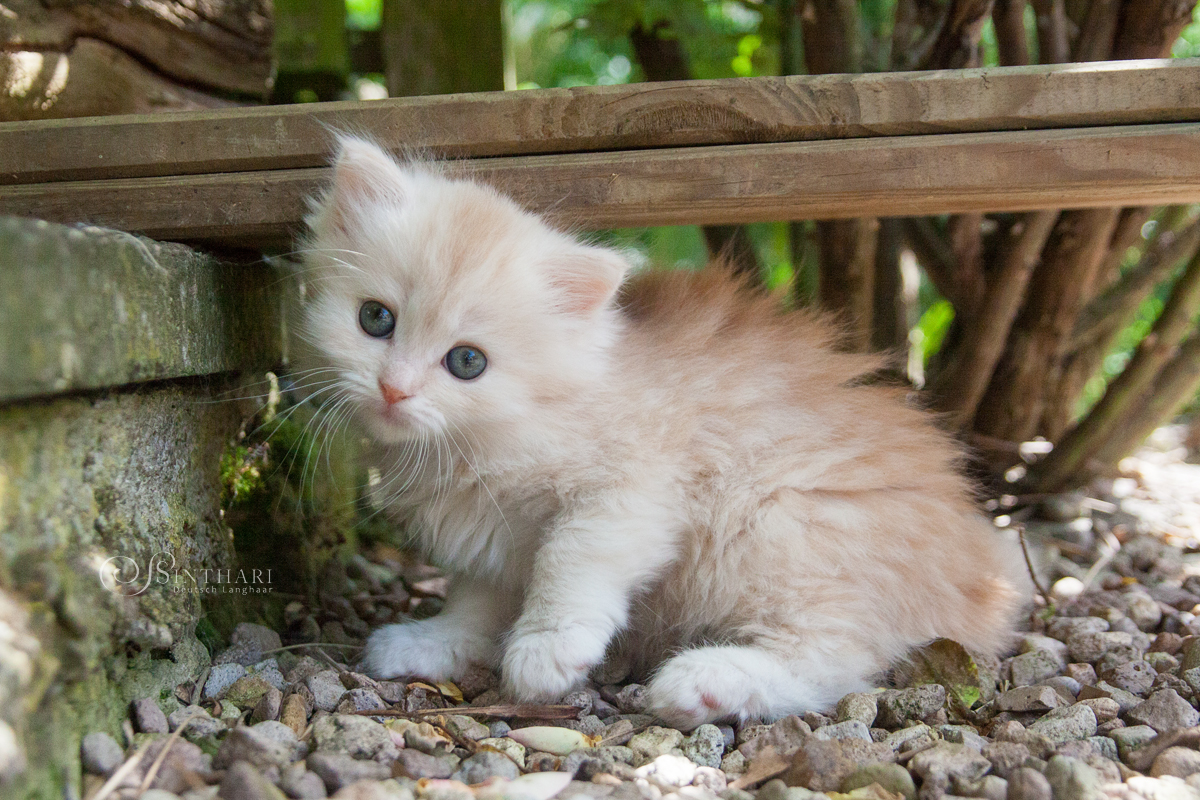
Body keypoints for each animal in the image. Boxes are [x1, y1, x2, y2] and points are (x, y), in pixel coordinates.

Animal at [297, 139, 1022, 734]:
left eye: (466, 362)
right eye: (375, 319)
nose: (394, 389)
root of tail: (975, 575)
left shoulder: (632, 493)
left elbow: (569, 562)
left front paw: (546, 650)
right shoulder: (494, 533)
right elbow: (476, 600)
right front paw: (433, 643)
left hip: (780, 527)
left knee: (836, 658)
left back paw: (704, 683)